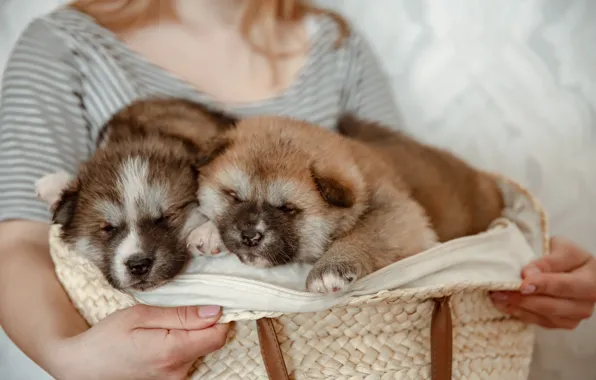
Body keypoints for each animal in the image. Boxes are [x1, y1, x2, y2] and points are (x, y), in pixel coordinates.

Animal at [190, 116, 438, 294]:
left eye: (287, 208)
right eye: (234, 196)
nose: (250, 237)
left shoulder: (398, 211)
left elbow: (365, 232)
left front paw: (329, 268)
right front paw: (208, 232)